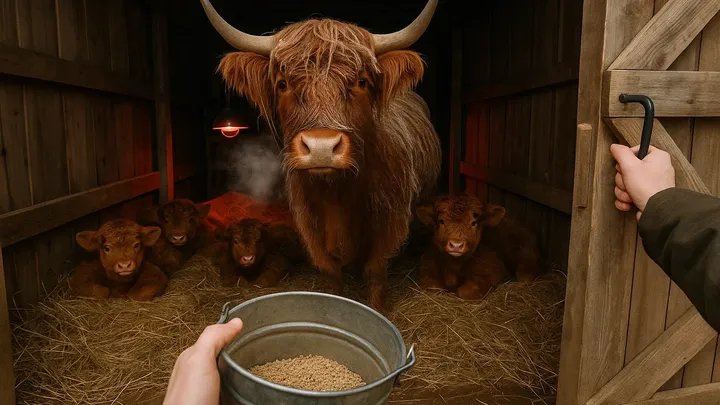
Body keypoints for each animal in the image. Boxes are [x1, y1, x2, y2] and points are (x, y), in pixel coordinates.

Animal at [200, 0, 443, 312]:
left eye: (362, 81)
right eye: (282, 84)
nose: (321, 147)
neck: (337, 193)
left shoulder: (389, 223)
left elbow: (376, 272)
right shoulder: (310, 225)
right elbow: (331, 274)